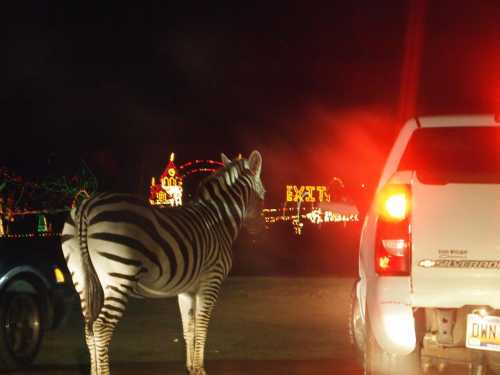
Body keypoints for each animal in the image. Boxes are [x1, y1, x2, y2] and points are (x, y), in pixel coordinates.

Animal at [60, 151, 266, 374]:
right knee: (101, 328)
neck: (219, 220)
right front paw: (200, 369)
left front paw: (191, 368)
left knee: (88, 329)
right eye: (263, 197)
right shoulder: (211, 280)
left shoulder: (187, 290)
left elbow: (189, 328)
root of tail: (87, 204)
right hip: (119, 276)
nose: (259, 231)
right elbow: (202, 327)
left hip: (81, 276)